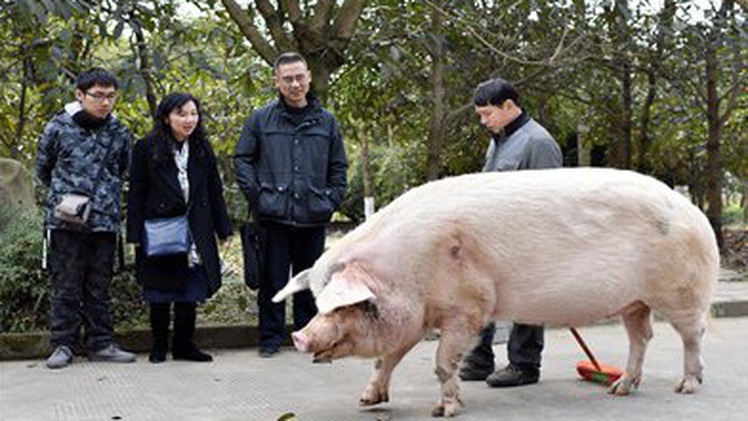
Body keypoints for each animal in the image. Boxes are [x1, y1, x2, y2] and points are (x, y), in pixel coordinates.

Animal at [274, 167, 720, 416]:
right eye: (318, 303)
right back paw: (620, 389)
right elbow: (387, 359)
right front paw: (367, 402)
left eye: (345, 306)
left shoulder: (470, 306)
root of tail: (693, 211)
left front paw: (444, 410)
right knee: (642, 336)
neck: (405, 272)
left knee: (692, 335)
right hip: (633, 301)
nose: (299, 336)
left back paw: (687, 386)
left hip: (681, 291)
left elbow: (443, 361)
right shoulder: (416, 318)